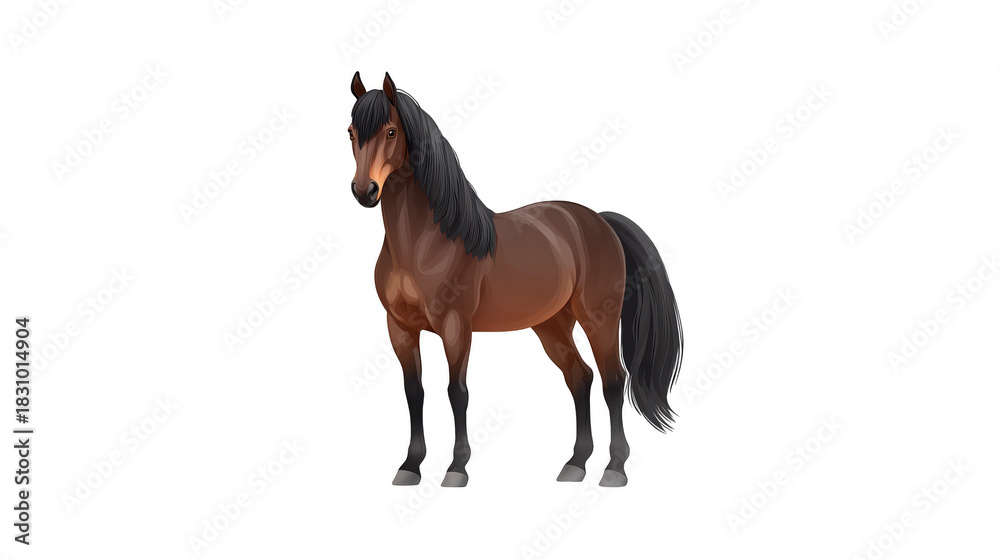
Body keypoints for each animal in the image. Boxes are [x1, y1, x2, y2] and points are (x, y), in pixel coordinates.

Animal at [348, 72, 683, 487]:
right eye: (351, 132)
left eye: (391, 131)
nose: (364, 191)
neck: (426, 242)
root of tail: (600, 222)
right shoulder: (400, 328)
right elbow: (414, 392)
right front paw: (410, 465)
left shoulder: (456, 327)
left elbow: (457, 392)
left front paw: (457, 468)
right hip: (551, 325)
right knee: (580, 377)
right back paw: (575, 464)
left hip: (598, 320)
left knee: (612, 382)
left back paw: (614, 468)